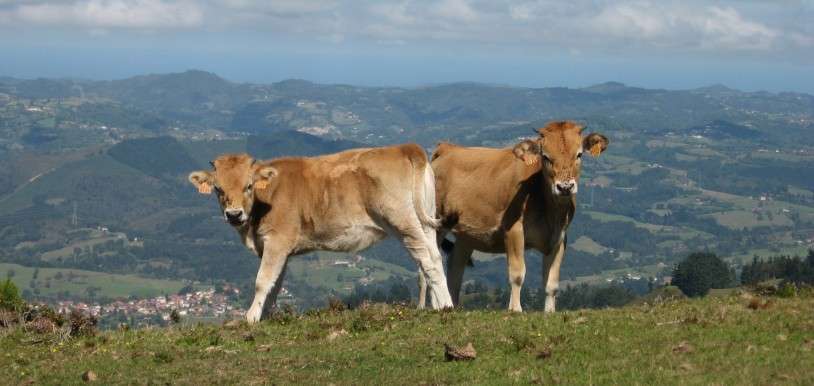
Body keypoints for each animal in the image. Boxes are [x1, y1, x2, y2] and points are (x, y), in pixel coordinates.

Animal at [189, 145, 456, 322]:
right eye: (218, 189)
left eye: (249, 186)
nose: (234, 214)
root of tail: (405, 148)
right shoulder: (280, 248)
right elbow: (275, 285)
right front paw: (266, 317)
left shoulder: (277, 241)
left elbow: (262, 281)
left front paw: (251, 317)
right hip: (424, 221)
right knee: (433, 257)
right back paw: (437, 305)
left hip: (402, 220)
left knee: (428, 260)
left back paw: (446, 306)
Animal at [430, 122, 608, 312]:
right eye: (546, 157)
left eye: (579, 154)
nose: (565, 187)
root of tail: (447, 148)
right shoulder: (513, 230)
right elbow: (517, 274)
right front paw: (515, 309)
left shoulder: (560, 238)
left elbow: (552, 282)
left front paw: (549, 311)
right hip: (434, 223)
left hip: (466, 235)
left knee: (455, 266)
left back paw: (452, 305)